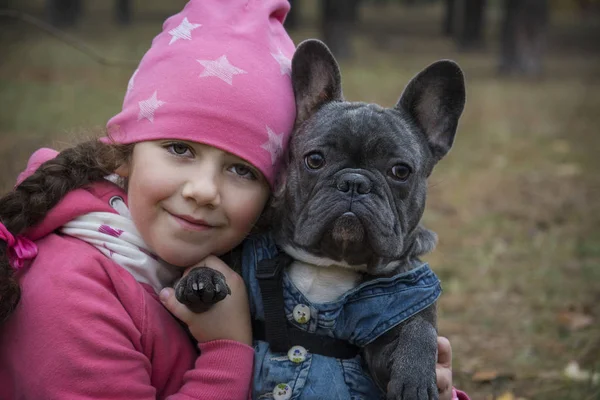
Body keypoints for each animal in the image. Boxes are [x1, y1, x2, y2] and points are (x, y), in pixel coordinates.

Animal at [176, 38, 466, 400]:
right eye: (314, 159)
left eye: (401, 171)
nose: (354, 182)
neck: (330, 265)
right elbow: (218, 261)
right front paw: (202, 277)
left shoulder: (395, 320)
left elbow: (418, 327)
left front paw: (414, 375)